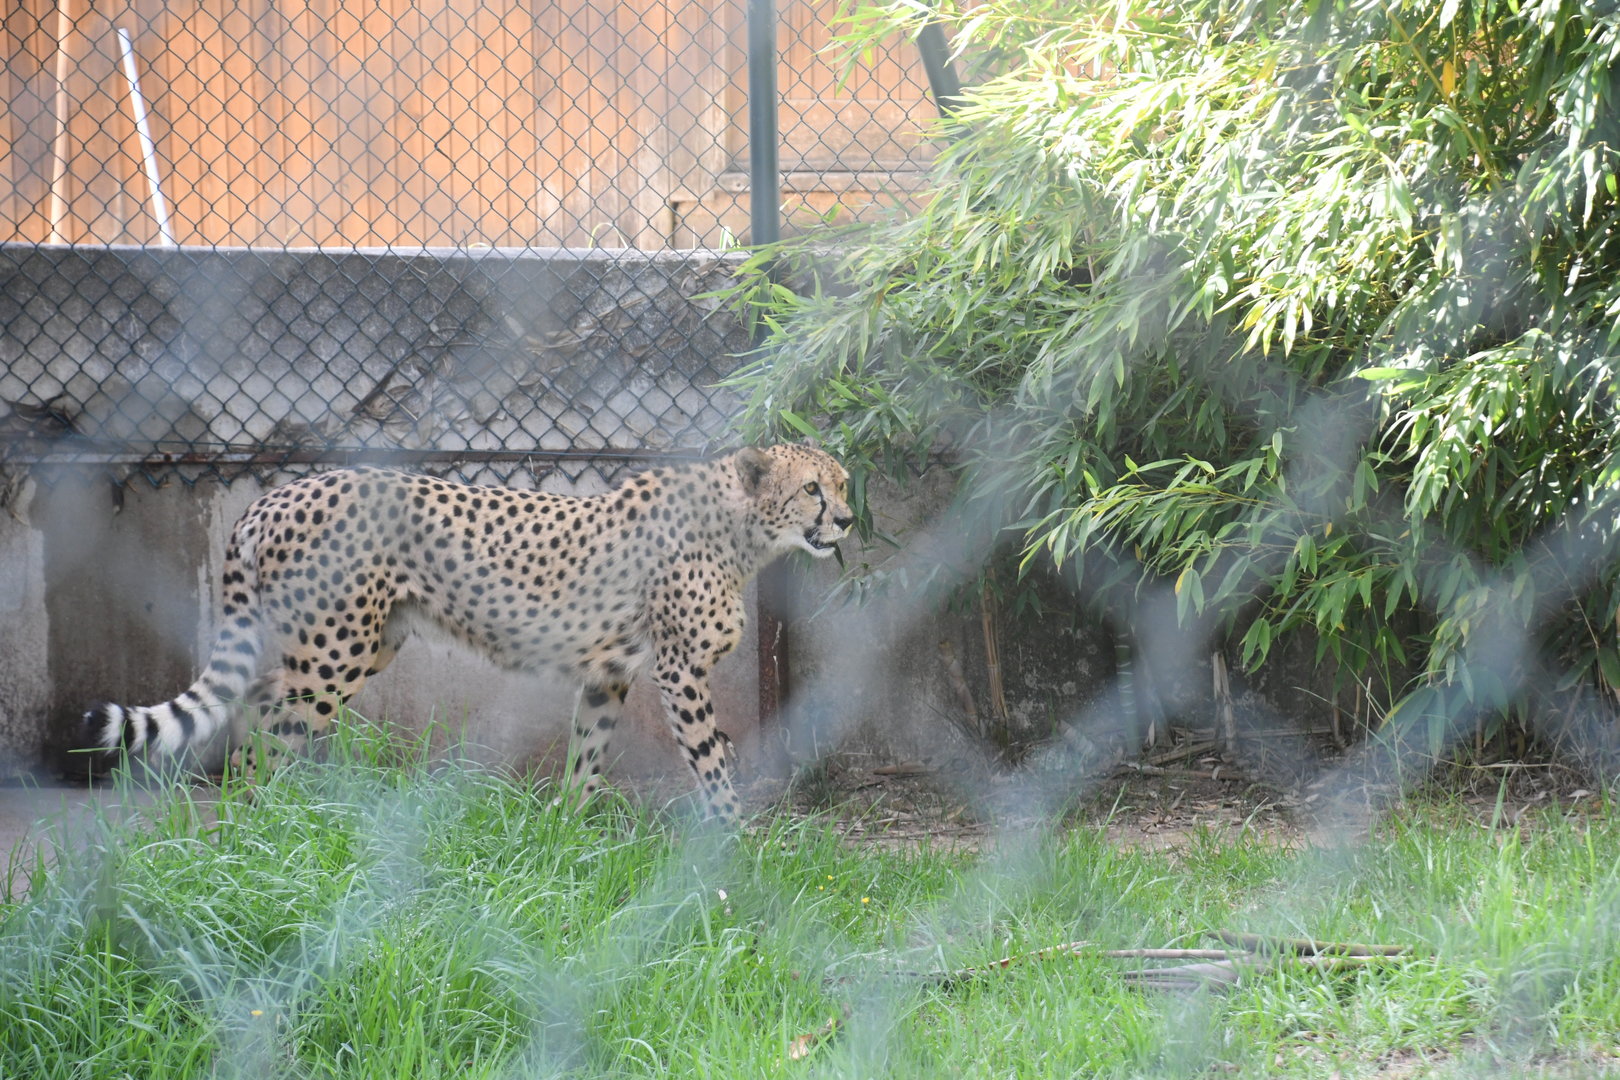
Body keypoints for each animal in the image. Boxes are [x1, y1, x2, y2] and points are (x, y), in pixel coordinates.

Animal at [84, 443, 854, 821]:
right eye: (812, 488)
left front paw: (566, 837)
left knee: (260, 697)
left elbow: (587, 755)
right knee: (273, 722)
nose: (846, 520)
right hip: (337, 647)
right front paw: (736, 846)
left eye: (843, 483)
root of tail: (278, 493)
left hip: (367, 641)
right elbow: (713, 764)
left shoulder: (608, 673)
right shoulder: (680, 670)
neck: (744, 530)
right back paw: (266, 830)